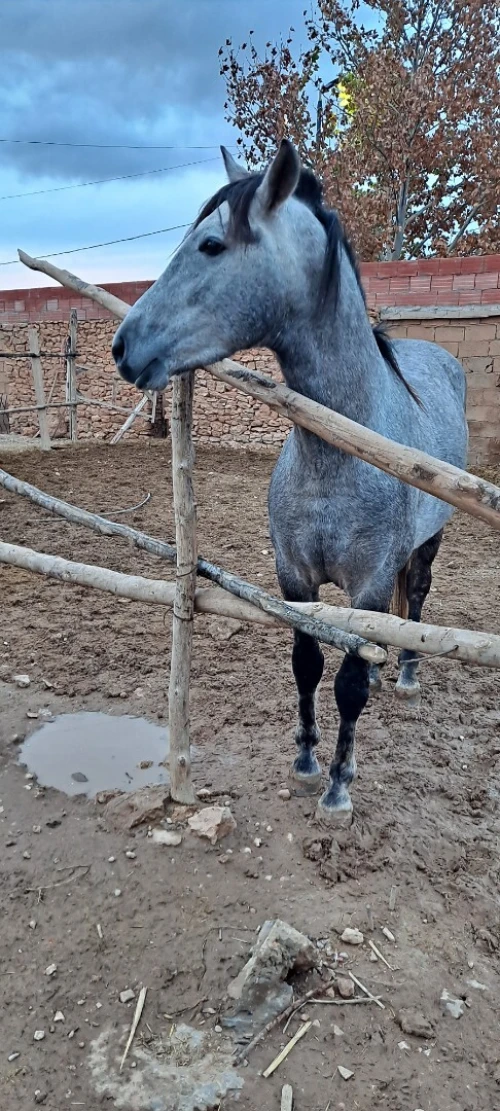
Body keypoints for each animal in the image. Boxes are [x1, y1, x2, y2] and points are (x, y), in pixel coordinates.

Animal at [112, 139, 468, 824]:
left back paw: (405, 674)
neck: (338, 457)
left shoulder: (368, 585)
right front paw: (304, 763)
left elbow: (348, 686)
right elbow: (307, 663)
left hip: (428, 545)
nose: (122, 346)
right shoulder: (294, 578)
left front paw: (337, 786)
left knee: (415, 603)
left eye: (211, 245)